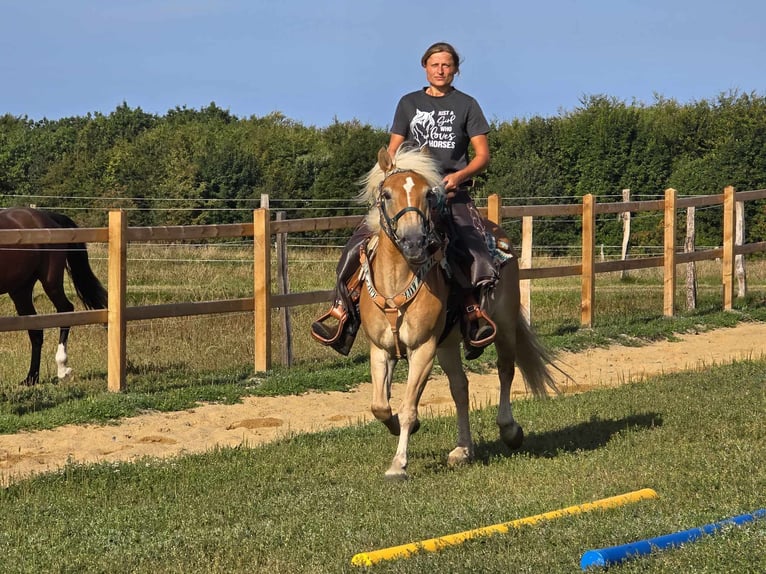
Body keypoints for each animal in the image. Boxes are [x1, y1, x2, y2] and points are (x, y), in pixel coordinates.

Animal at [0, 208, 108, 388]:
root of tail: (48, 216)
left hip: (51, 282)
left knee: (65, 310)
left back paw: (62, 368)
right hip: (20, 291)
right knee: (36, 330)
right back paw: (31, 378)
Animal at [358, 147, 564, 482]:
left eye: (428, 195)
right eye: (386, 195)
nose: (414, 242)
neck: (397, 282)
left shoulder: (423, 349)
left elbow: (409, 407)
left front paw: (398, 464)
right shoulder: (381, 349)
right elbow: (381, 406)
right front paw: (401, 428)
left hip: (504, 325)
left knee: (505, 370)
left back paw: (510, 430)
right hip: (448, 345)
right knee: (461, 389)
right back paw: (463, 450)